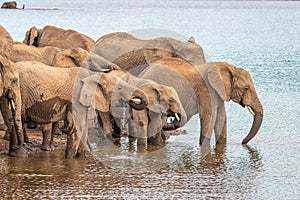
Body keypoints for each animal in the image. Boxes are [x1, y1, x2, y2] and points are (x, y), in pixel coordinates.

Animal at [15, 61, 149, 158]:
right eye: (119, 88)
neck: (93, 74)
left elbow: (83, 127)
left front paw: (80, 157)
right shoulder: (75, 98)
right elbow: (76, 128)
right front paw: (70, 159)